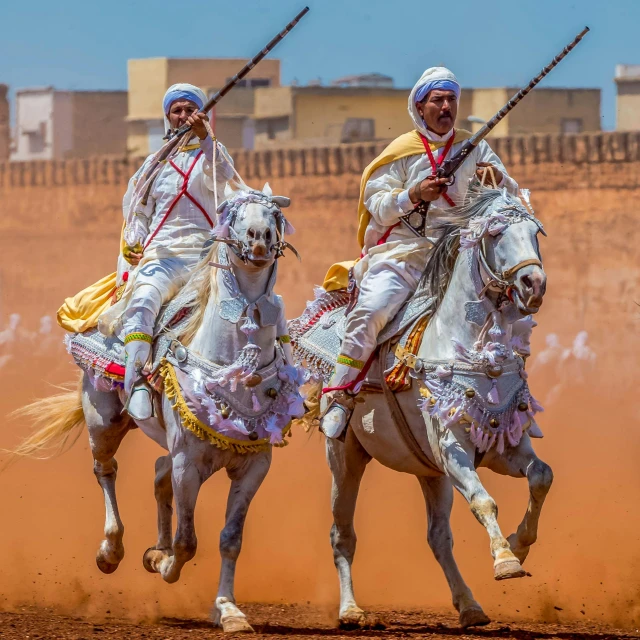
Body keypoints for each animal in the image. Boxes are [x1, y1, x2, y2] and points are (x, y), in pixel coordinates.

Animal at [13, 184, 304, 632]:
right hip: (104, 422)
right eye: (232, 215)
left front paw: (229, 610)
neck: (234, 367)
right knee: (107, 471)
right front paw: (164, 563)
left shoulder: (254, 466)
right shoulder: (189, 462)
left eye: (275, 215)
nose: (259, 239)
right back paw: (110, 552)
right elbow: (187, 541)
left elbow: (229, 539)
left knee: (157, 473)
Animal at [296, 188, 552, 628]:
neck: (471, 351)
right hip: (345, 457)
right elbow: (484, 500)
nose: (533, 284)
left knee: (438, 538)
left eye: (535, 233)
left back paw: (470, 606)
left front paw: (519, 544)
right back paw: (351, 610)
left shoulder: (502, 446)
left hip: (429, 473)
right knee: (342, 534)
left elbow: (541, 476)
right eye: (496, 232)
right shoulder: (453, 449)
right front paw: (505, 560)